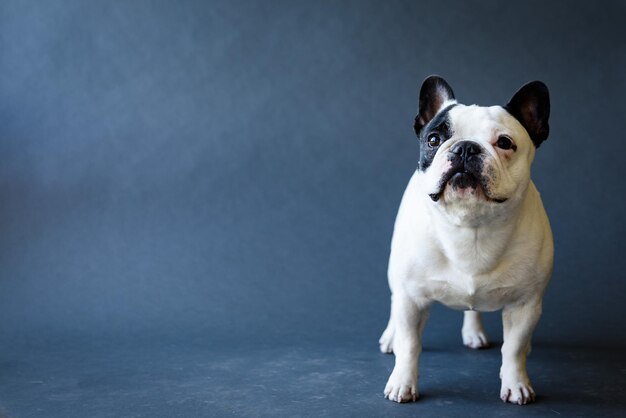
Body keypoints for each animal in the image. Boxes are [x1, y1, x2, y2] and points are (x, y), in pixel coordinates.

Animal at [380, 75, 552, 404]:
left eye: (505, 142)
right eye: (434, 140)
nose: (465, 148)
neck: (470, 223)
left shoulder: (525, 304)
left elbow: (513, 349)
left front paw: (516, 384)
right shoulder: (411, 298)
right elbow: (410, 345)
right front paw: (402, 382)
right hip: (397, 279)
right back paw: (390, 336)